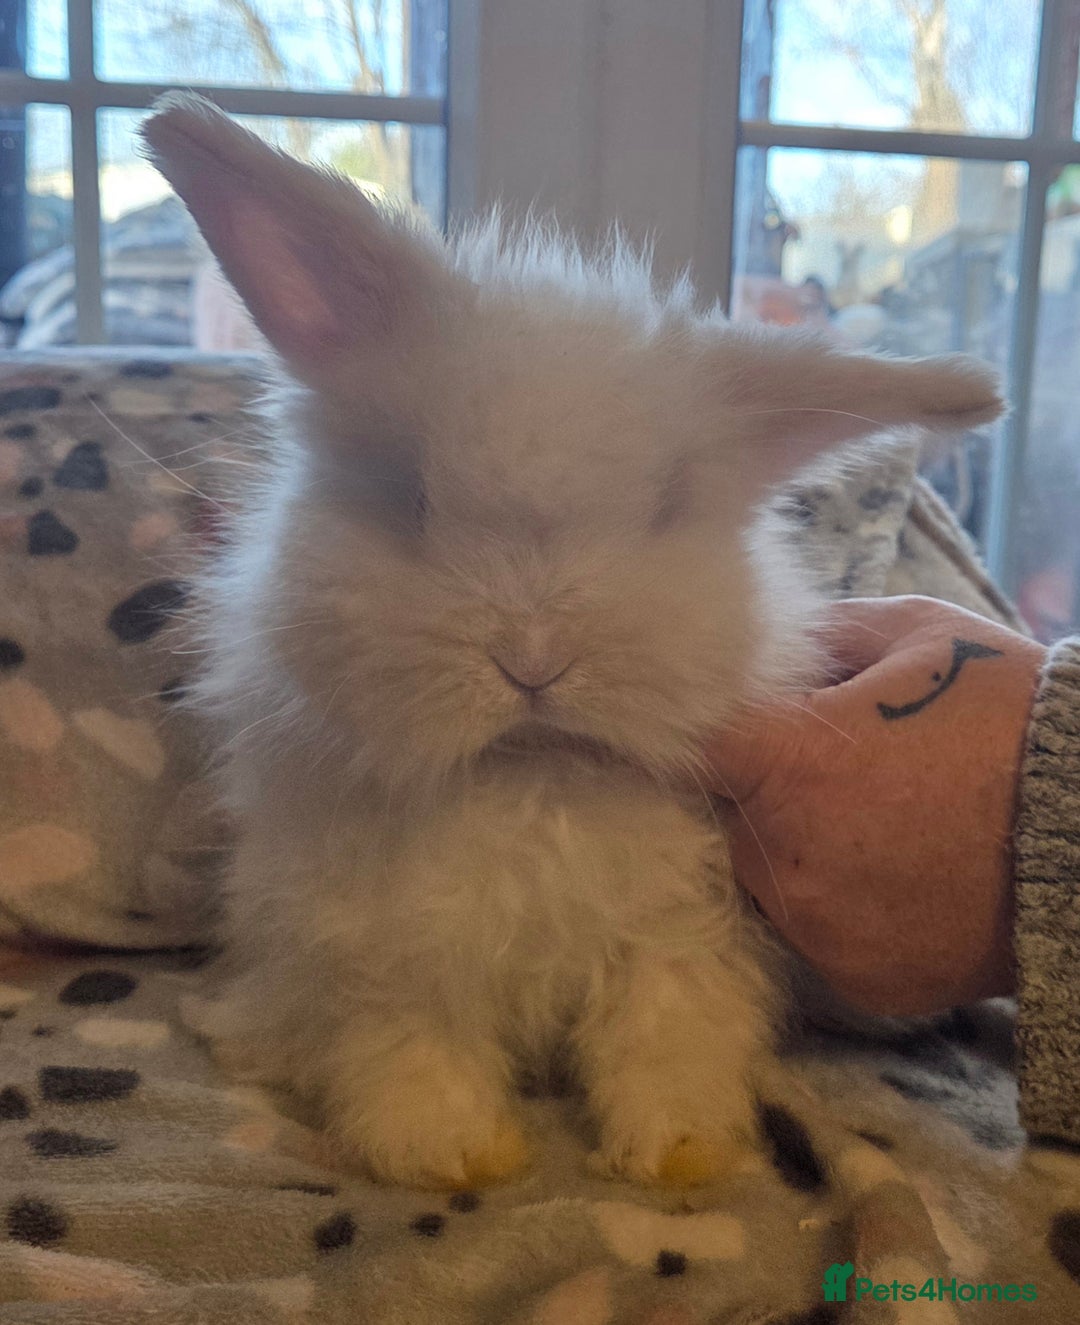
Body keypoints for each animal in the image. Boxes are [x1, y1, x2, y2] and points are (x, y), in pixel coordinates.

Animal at [142, 94, 1003, 1190]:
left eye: (666, 508)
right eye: (411, 496)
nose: (534, 660)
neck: (531, 770)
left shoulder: (684, 928)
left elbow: (669, 1032)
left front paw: (680, 1154)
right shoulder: (384, 945)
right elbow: (412, 1042)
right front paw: (449, 1154)